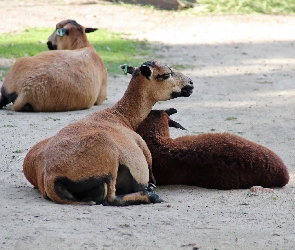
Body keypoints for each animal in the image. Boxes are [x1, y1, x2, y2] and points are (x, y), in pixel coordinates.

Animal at [22, 61, 194, 205]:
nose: (191, 83)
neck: (120, 115)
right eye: (166, 74)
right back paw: (151, 195)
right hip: (108, 155)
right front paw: (151, 186)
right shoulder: (141, 145)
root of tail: (50, 178)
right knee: (110, 199)